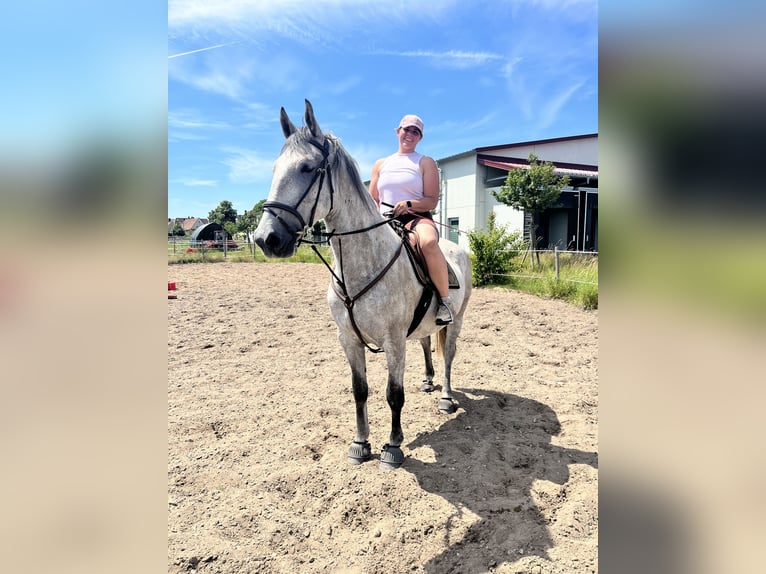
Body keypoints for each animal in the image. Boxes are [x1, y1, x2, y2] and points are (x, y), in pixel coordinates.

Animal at [255, 98, 474, 468]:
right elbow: (360, 391)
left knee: (448, 356)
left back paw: (444, 396)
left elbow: (393, 394)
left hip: (455, 321)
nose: (266, 238)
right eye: (275, 168)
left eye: (307, 168)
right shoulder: (349, 340)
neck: (363, 264)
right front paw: (361, 443)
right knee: (427, 343)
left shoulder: (394, 341)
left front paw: (393, 446)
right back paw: (428, 382)